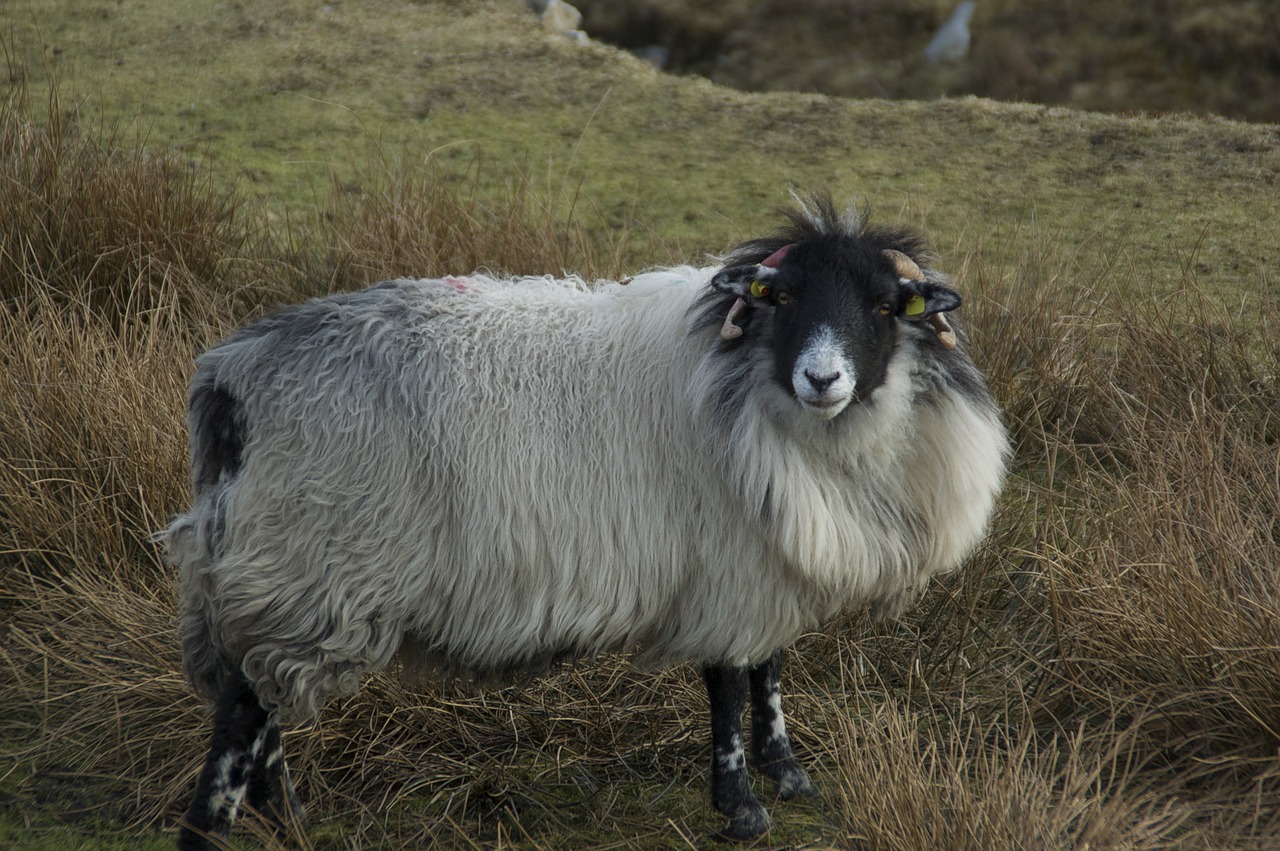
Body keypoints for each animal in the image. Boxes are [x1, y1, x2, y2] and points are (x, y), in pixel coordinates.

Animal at [162, 191, 1008, 844]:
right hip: (312, 560)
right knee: (243, 709)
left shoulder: (763, 563)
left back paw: (288, 819)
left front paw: (789, 772)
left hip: (280, 570)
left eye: (883, 306)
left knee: (262, 699)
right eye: (787, 299)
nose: (822, 377)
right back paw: (216, 828)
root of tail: (231, 377)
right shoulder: (724, 566)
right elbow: (729, 684)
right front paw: (741, 806)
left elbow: (768, 669)